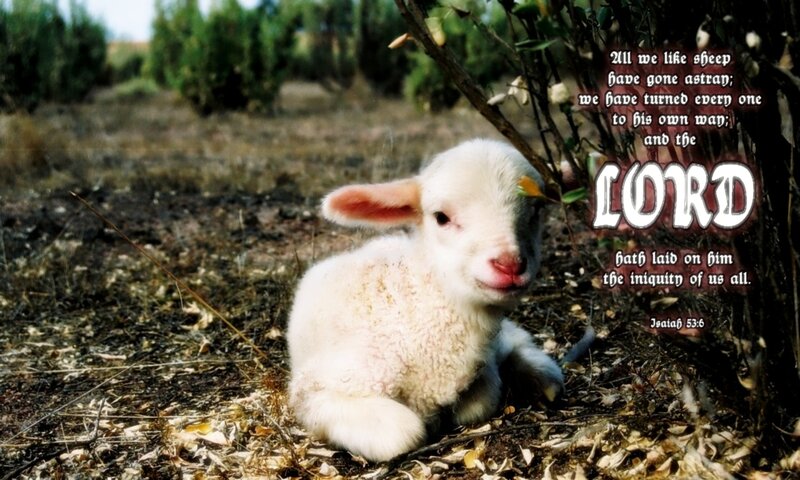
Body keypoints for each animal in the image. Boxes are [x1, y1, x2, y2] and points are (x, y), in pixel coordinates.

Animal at [286, 138, 564, 462]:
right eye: (441, 217)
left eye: (536, 210)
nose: (509, 265)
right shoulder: (315, 388)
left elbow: (482, 398)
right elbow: (403, 432)